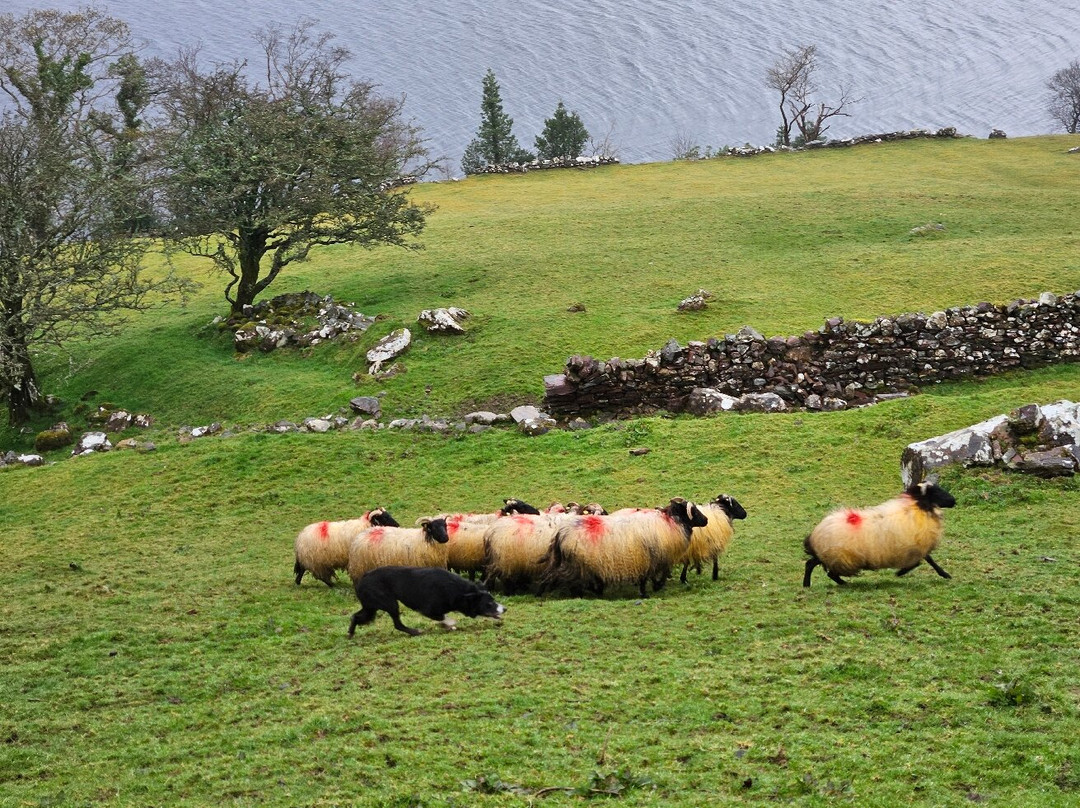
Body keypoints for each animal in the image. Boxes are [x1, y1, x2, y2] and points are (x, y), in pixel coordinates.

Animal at [544, 498, 708, 597]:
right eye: (693, 510)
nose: (706, 520)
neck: (669, 522)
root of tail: (561, 533)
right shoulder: (652, 557)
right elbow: (652, 576)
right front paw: (649, 591)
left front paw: (653, 587)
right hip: (578, 562)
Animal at [802, 481, 956, 587]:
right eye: (936, 492)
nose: (953, 501)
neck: (917, 508)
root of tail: (817, 533)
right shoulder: (913, 546)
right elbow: (922, 561)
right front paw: (901, 572)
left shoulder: (915, 545)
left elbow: (927, 559)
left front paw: (944, 574)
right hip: (837, 555)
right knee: (827, 571)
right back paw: (840, 584)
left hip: (828, 555)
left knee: (811, 564)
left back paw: (809, 585)